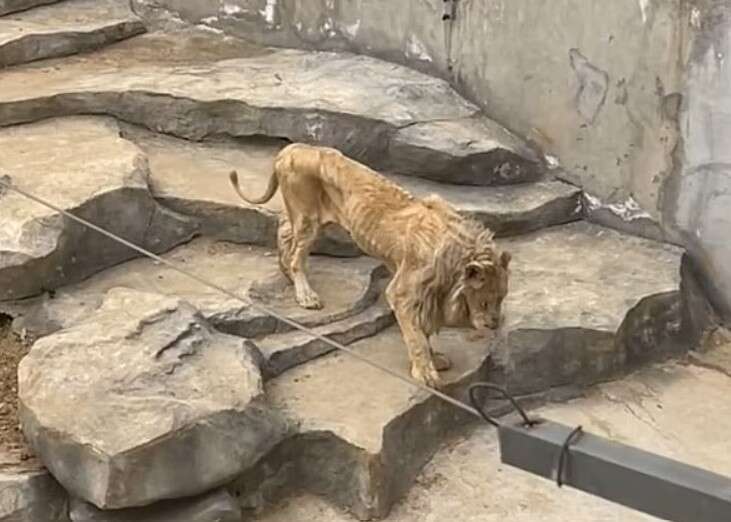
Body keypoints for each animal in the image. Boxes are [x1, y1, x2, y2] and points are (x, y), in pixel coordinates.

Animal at [232, 142, 512, 386]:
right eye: (485, 301)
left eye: (502, 298)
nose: (494, 325)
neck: (457, 258)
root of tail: (293, 148)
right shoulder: (403, 293)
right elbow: (416, 336)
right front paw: (426, 374)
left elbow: (422, 330)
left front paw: (435, 360)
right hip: (307, 217)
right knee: (296, 256)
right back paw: (306, 295)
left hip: (307, 219)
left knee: (284, 230)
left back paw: (287, 272)